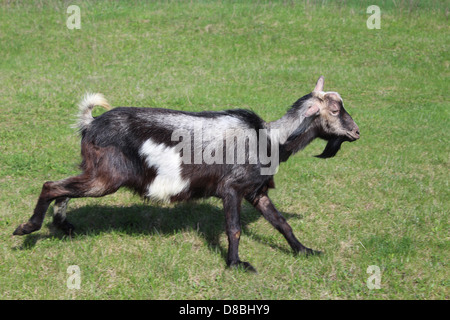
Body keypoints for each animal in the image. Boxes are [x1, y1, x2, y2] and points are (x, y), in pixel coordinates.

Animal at [14, 76, 358, 272]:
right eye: (335, 110)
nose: (356, 132)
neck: (270, 138)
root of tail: (90, 124)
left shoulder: (256, 191)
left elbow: (281, 223)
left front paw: (305, 250)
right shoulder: (231, 189)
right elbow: (233, 228)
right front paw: (236, 265)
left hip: (95, 172)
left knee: (64, 188)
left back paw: (64, 226)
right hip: (105, 179)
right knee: (51, 185)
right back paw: (27, 228)